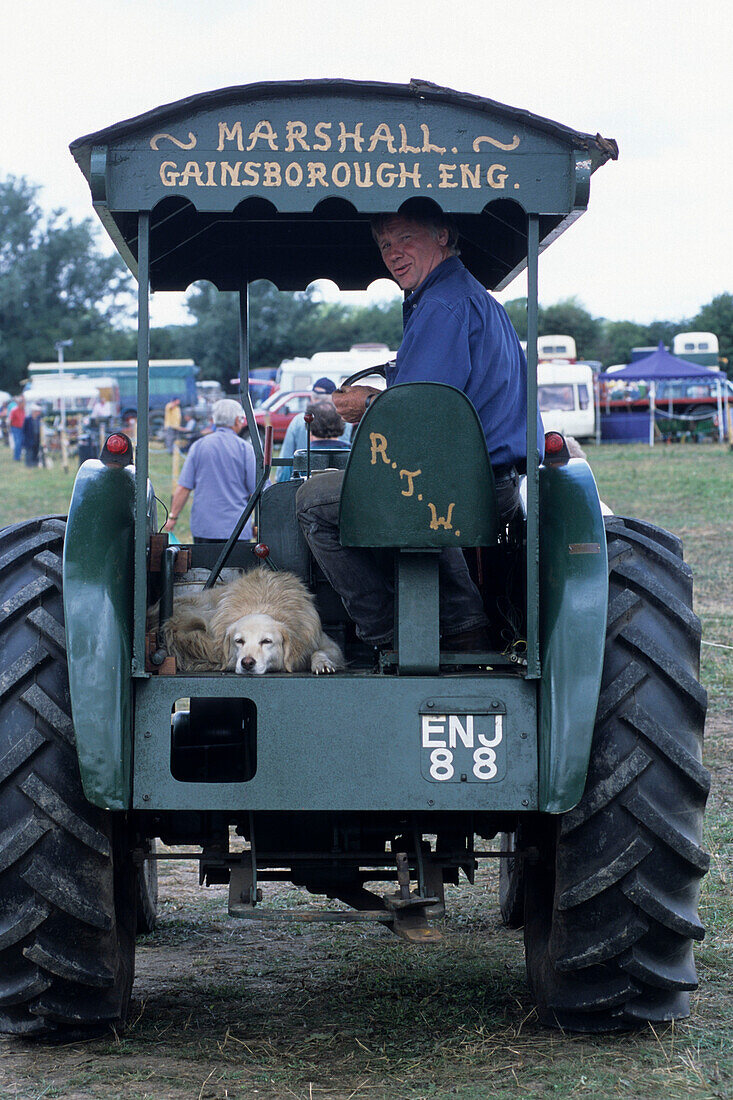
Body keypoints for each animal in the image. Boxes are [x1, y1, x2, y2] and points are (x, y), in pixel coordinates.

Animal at [157, 572, 345, 673]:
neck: (264, 604)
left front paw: (322, 663)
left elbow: (319, 652)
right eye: (239, 641)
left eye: (267, 641)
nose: (247, 663)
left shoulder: (325, 643)